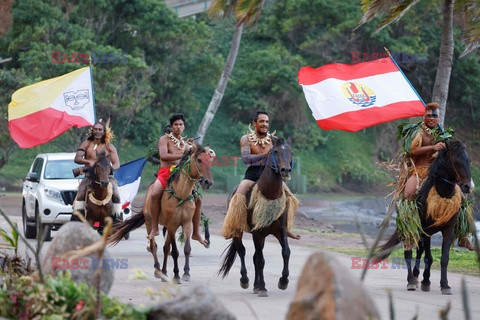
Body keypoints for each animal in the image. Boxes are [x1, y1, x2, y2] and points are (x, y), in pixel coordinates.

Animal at [109, 144, 215, 284]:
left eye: (210, 161)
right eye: (199, 160)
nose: (208, 182)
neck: (181, 194)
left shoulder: (186, 223)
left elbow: (186, 249)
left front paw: (186, 273)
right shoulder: (172, 225)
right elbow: (174, 251)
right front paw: (176, 275)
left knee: (165, 248)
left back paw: (164, 272)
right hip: (150, 222)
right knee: (154, 246)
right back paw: (158, 269)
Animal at [218, 136, 296, 296]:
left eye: (291, 152)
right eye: (275, 151)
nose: (285, 170)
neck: (270, 195)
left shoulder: (280, 230)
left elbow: (285, 252)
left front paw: (283, 281)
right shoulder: (257, 233)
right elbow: (260, 260)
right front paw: (263, 287)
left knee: (255, 257)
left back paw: (255, 285)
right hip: (238, 230)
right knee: (242, 251)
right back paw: (246, 281)